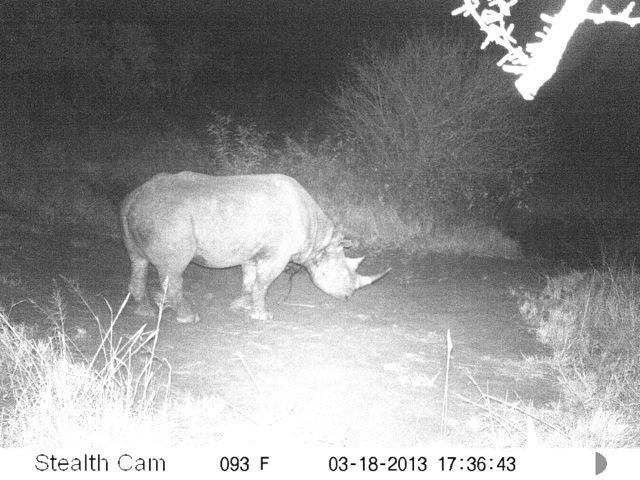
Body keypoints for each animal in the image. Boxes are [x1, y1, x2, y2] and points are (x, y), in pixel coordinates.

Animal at [120, 172, 389, 323]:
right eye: (345, 276)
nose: (348, 297)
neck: (319, 242)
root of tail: (135, 196)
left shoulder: (250, 250)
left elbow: (249, 280)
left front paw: (241, 306)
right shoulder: (278, 254)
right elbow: (263, 282)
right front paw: (262, 315)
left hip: (137, 211)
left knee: (138, 260)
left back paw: (145, 312)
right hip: (170, 218)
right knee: (173, 269)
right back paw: (188, 317)